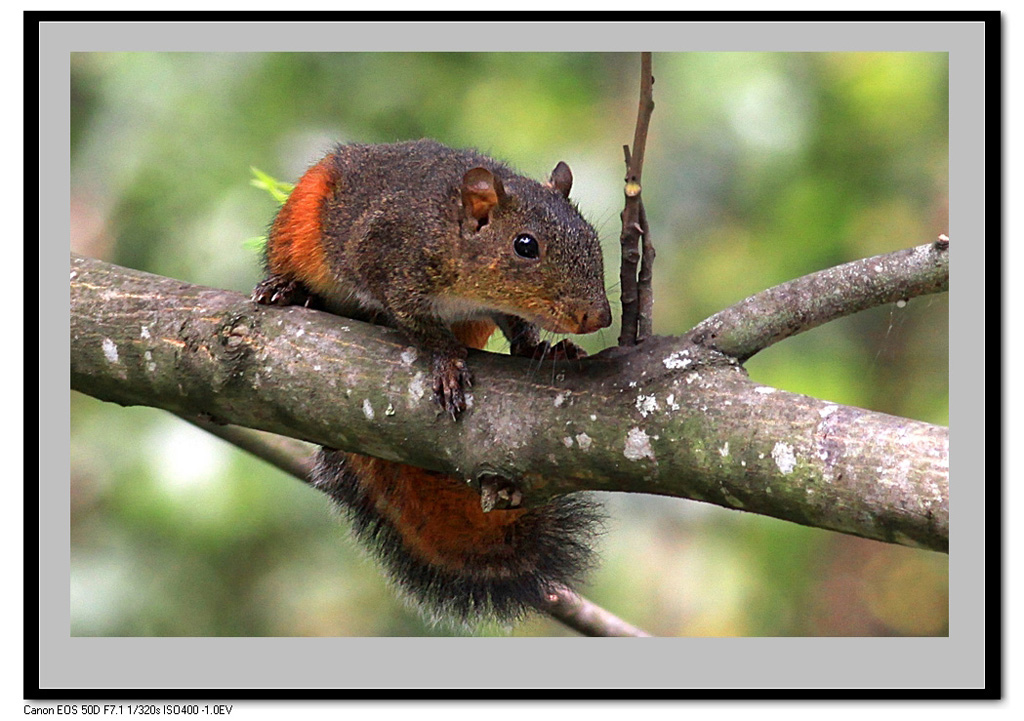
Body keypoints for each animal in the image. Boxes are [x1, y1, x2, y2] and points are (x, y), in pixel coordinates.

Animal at [252, 141, 610, 626]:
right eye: (526, 246)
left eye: (592, 238)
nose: (599, 317)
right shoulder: (386, 257)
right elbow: (415, 321)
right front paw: (446, 362)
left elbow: (516, 327)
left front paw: (540, 348)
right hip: (297, 226)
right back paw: (288, 289)